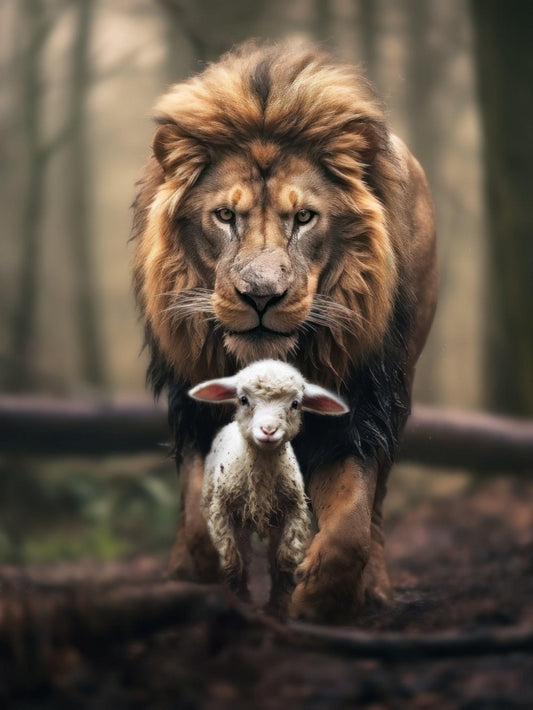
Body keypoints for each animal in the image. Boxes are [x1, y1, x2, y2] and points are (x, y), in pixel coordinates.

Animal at [131, 40, 437, 623]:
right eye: (224, 215)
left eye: (305, 218)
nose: (260, 297)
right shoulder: (200, 410)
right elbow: (198, 516)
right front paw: (201, 574)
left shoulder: (358, 410)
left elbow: (350, 528)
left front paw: (316, 598)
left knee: (377, 510)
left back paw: (373, 589)